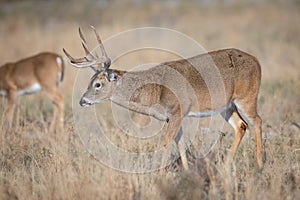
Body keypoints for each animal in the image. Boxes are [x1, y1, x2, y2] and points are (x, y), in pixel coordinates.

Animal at [63, 26, 262, 170]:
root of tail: (257, 61)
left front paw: (160, 173)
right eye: (90, 81)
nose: (82, 101)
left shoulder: (177, 111)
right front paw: (186, 172)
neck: (154, 92)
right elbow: (180, 142)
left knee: (257, 121)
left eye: (98, 84)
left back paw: (260, 164)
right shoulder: (171, 117)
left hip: (247, 97)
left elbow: (167, 142)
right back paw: (227, 164)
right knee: (241, 125)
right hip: (227, 106)